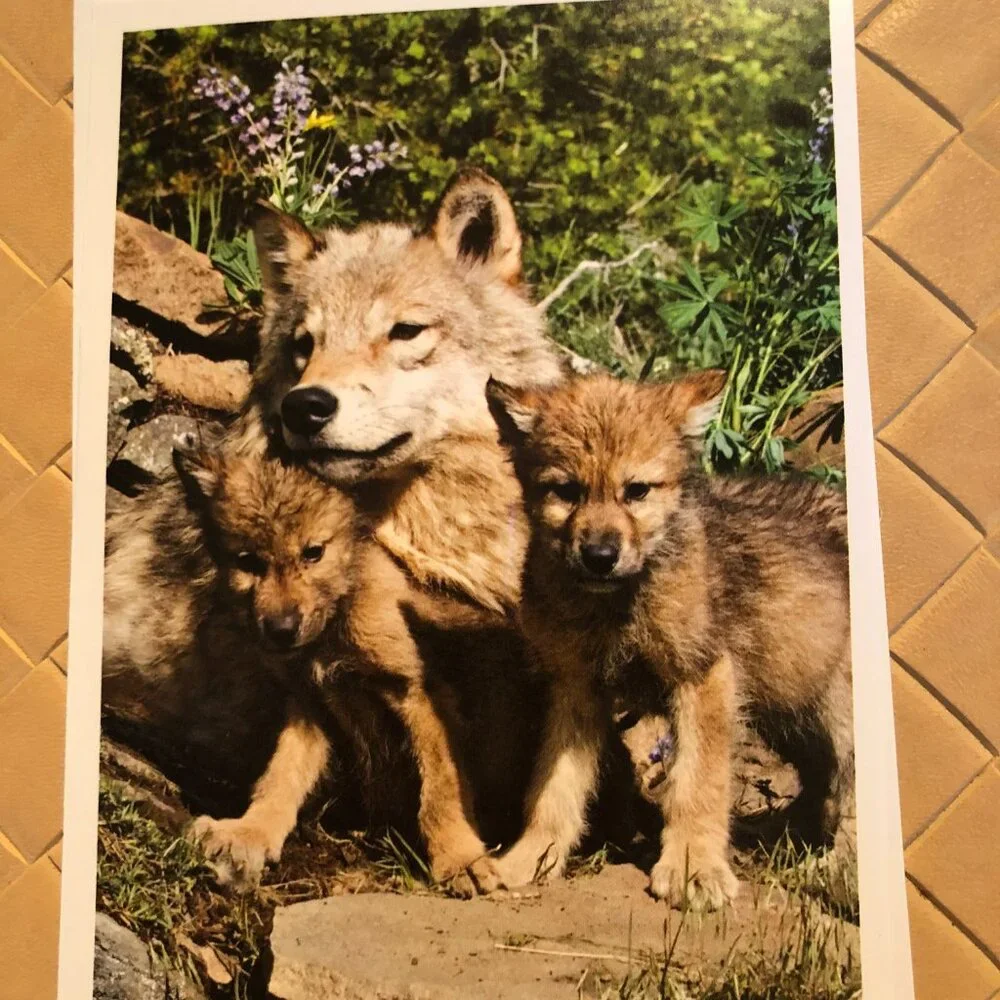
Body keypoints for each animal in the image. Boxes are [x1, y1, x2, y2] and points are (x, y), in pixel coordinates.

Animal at [486, 371, 854, 910]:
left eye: (637, 490)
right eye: (566, 491)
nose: (599, 556)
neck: (617, 608)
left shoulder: (702, 677)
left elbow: (697, 783)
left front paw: (692, 868)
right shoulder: (575, 688)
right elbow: (552, 790)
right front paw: (529, 859)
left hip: (835, 715)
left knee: (851, 787)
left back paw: (836, 870)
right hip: (794, 711)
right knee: (822, 784)